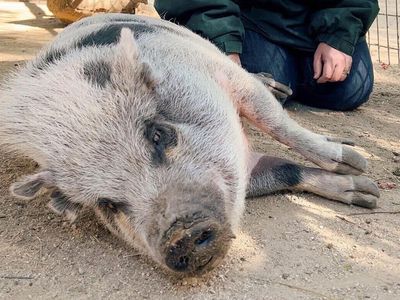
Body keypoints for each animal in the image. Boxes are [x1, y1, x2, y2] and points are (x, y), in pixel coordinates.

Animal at [0, 12, 380, 274]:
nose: (179, 236)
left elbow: (278, 124)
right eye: (108, 204)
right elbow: (286, 171)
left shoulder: (224, 76)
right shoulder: (242, 173)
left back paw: (282, 90)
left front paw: (358, 164)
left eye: (158, 134)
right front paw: (365, 194)